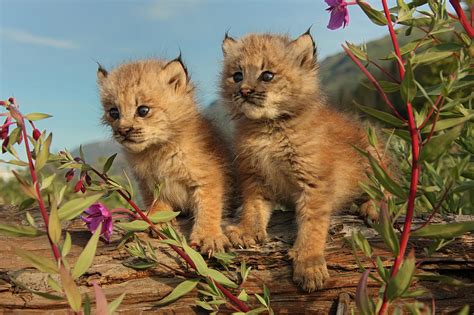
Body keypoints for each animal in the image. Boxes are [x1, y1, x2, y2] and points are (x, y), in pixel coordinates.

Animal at [97, 57, 231, 254]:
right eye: (114, 112)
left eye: (143, 110)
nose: (122, 131)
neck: (158, 150)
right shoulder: (148, 182)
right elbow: (155, 200)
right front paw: (159, 219)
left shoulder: (208, 177)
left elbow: (209, 207)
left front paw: (209, 236)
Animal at [222, 30, 382, 292]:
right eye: (237, 76)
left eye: (267, 75)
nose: (244, 91)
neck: (269, 127)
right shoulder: (255, 177)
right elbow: (253, 206)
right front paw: (248, 229)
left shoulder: (314, 182)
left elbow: (312, 224)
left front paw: (309, 263)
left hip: (372, 151)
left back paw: (372, 206)